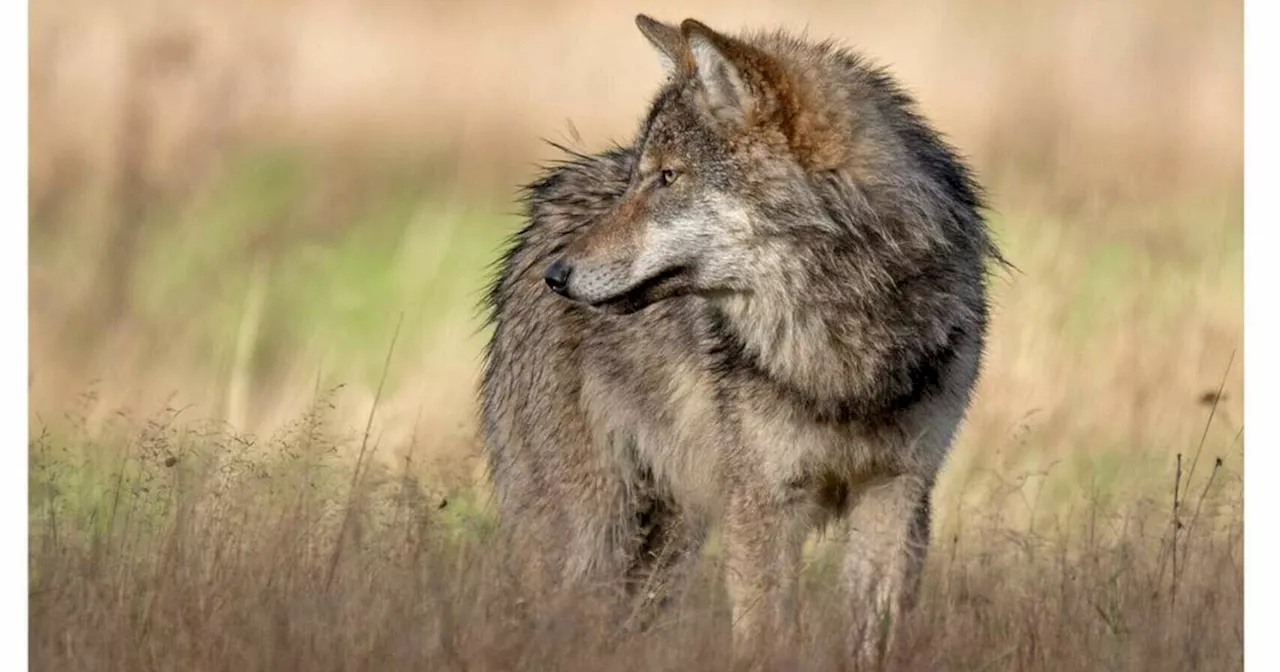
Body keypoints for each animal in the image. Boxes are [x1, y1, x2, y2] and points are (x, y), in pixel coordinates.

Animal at [478, 14, 998, 665]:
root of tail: (537, 218)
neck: (840, 353)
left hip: (669, 542)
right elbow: (766, 640)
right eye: (642, 178)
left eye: (667, 177)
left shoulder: (897, 495)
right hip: (588, 534)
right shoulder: (763, 506)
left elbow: (870, 638)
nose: (558, 275)